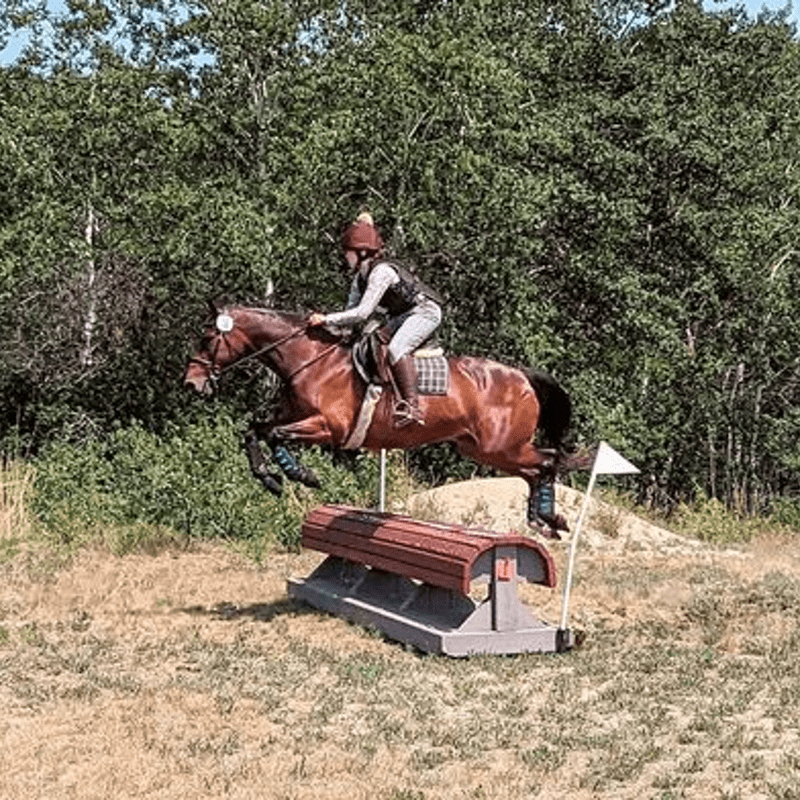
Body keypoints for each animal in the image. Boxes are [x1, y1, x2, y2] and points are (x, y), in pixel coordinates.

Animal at [183, 305, 584, 536]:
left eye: (206, 337)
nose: (191, 383)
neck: (309, 360)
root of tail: (521, 375)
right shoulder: (290, 416)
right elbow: (254, 431)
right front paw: (269, 478)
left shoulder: (329, 427)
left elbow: (278, 436)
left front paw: (301, 474)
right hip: (483, 449)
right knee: (535, 470)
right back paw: (542, 520)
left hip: (501, 447)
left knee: (547, 461)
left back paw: (549, 519)